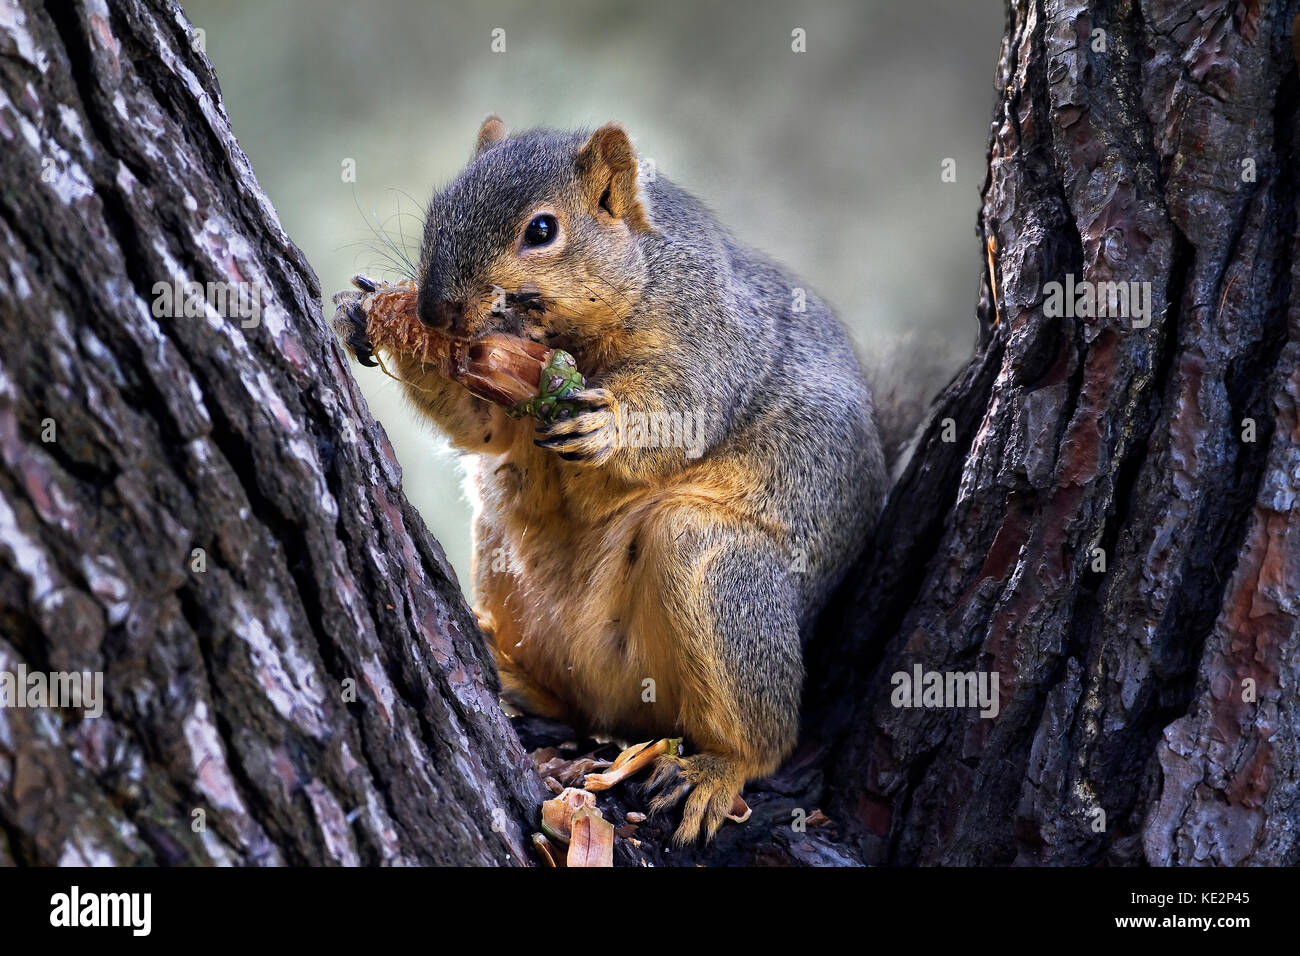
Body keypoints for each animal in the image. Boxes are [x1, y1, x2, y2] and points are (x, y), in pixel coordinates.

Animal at [334, 116, 887, 844]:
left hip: (713, 566)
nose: (433, 310)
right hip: (504, 553)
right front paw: (366, 310)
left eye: (542, 230)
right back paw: (512, 672)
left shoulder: (711, 339)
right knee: (569, 699)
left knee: (764, 737)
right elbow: (481, 429)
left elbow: (682, 410)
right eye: (438, 208)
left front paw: (607, 428)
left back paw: (717, 770)